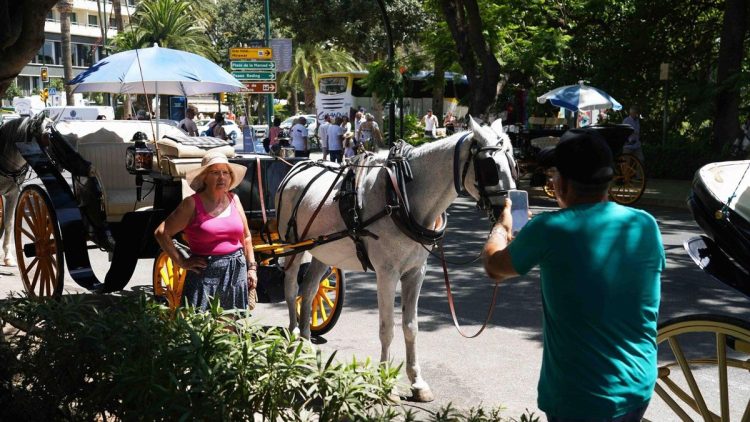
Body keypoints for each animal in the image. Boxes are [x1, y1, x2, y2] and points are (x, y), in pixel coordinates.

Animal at [275, 118, 517, 401]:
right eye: (490, 167)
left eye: (513, 163)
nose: (505, 214)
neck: (401, 196)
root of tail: (297, 167)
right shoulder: (387, 274)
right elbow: (387, 327)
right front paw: (385, 382)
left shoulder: (416, 272)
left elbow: (411, 327)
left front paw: (417, 382)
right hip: (293, 248)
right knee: (291, 287)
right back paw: (294, 336)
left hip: (324, 251)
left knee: (310, 289)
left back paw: (305, 341)